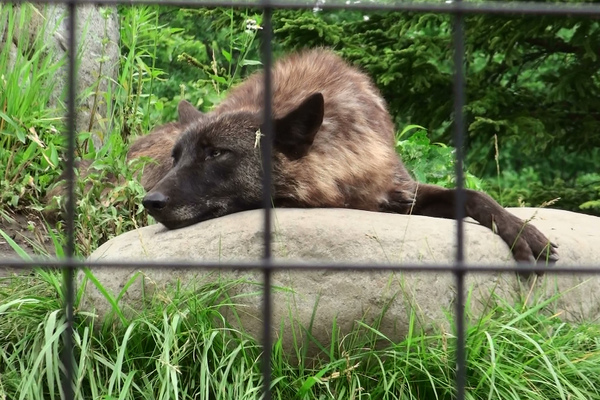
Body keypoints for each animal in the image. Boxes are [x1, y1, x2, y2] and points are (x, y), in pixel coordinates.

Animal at [130, 47, 556, 262]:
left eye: (216, 153)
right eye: (177, 158)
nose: (151, 202)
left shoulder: (397, 191)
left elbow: (472, 194)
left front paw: (523, 231)